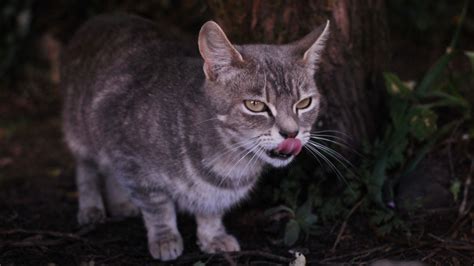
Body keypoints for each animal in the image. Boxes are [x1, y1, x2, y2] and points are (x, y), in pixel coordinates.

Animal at [62, 13, 330, 260]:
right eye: (255, 105)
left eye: (304, 103)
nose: (291, 132)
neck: (231, 161)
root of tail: (101, 17)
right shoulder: (131, 158)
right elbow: (158, 206)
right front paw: (164, 237)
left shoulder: (215, 192)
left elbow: (211, 210)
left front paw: (212, 236)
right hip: (83, 130)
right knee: (87, 168)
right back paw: (91, 207)